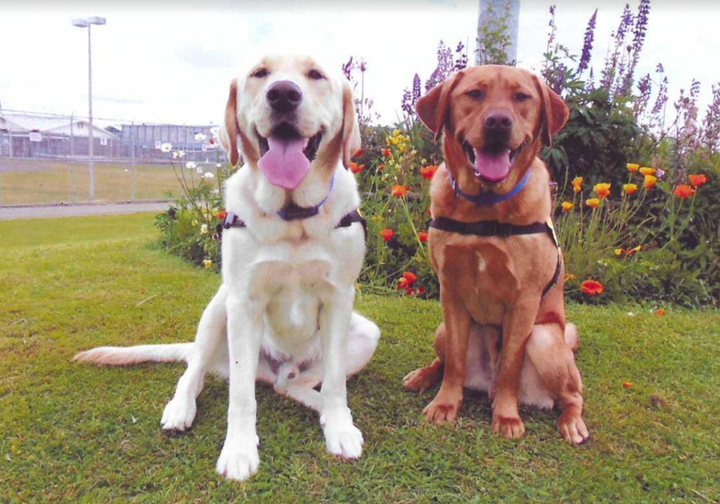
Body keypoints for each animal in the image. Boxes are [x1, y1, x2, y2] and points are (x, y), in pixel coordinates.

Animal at [76, 54, 382, 480]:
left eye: (316, 75)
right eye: (260, 74)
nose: (282, 94)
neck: (292, 217)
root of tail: (277, 368)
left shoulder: (340, 299)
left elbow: (336, 381)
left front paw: (338, 426)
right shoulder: (243, 302)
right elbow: (240, 395)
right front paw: (238, 449)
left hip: (365, 334)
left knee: (292, 386)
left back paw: (324, 408)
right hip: (218, 310)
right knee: (196, 372)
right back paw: (180, 408)